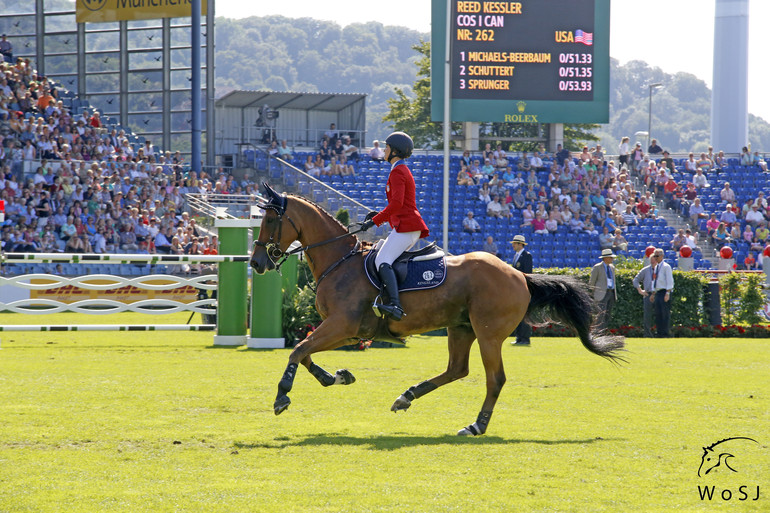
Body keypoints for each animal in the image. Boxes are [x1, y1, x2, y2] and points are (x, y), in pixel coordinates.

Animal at [252, 182, 624, 434]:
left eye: (269, 221)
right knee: (457, 370)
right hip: (460, 328)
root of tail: (519, 274)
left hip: (488, 335)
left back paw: (476, 426)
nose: (256, 263)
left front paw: (282, 397)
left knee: (494, 379)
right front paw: (336, 376)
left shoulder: (342, 325)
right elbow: (305, 352)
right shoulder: (346, 330)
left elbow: (297, 350)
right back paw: (407, 397)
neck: (339, 261)